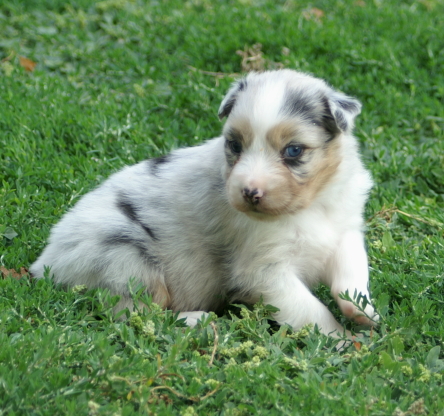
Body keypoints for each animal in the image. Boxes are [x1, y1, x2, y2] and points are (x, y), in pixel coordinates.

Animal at [31, 70, 378, 336]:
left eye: (293, 151)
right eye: (235, 145)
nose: (249, 193)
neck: (309, 206)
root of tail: (44, 263)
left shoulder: (344, 231)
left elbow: (351, 274)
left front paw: (363, 313)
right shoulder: (264, 272)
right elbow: (311, 310)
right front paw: (342, 339)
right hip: (126, 259)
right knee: (138, 316)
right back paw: (199, 319)